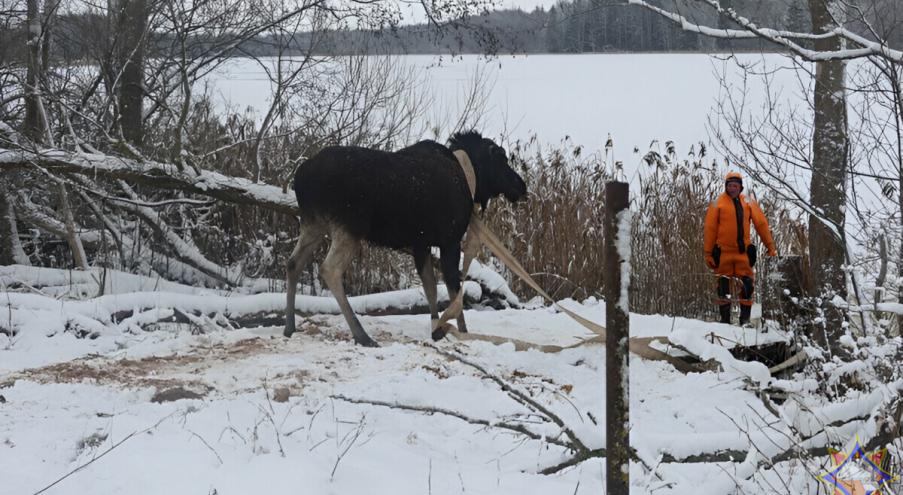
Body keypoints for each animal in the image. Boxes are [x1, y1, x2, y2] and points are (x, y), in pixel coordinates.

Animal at [284, 132, 528, 348]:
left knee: (293, 262)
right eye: (502, 159)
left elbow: (430, 288)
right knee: (329, 269)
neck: (470, 178)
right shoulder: (449, 241)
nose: (521, 185)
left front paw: (437, 329)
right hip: (349, 226)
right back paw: (362, 335)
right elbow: (453, 290)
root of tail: (301, 177)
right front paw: (462, 331)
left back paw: (289, 326)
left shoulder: (421, 244)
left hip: (314, 223)